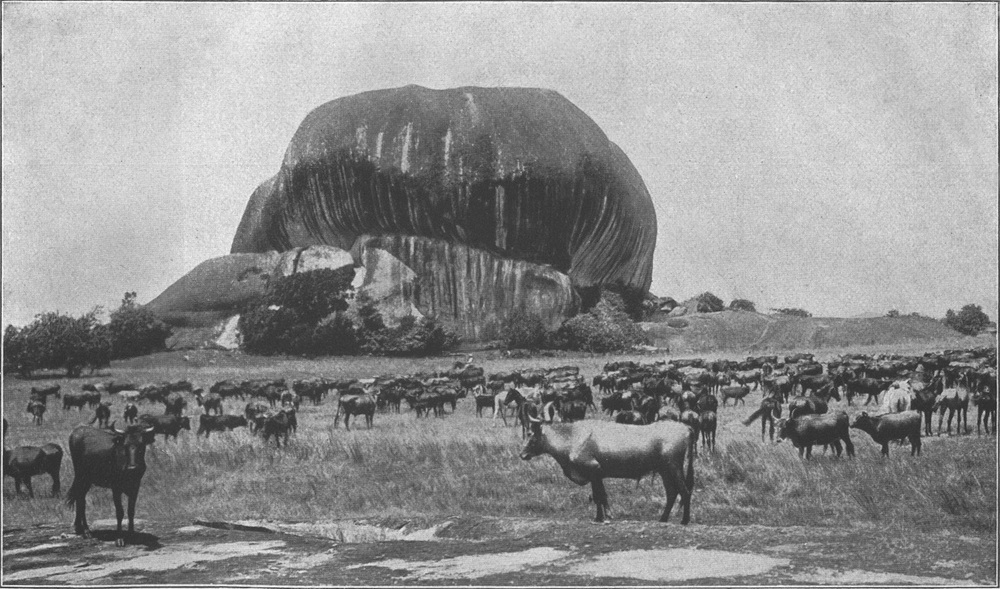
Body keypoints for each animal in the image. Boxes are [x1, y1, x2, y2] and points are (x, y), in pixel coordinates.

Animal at [516, 418, 696, 524]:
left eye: (531, 435)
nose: (522, 454)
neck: (572, 437)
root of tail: (685, 426)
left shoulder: (593, 470)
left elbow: (599, 496)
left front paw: (603, 517)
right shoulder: (597, 475)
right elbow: (600, 496)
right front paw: (601, 516)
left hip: (674, 467)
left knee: (685, 491)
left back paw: (684, 520)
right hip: (664, 470)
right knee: (672, 493)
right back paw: (663, 518)